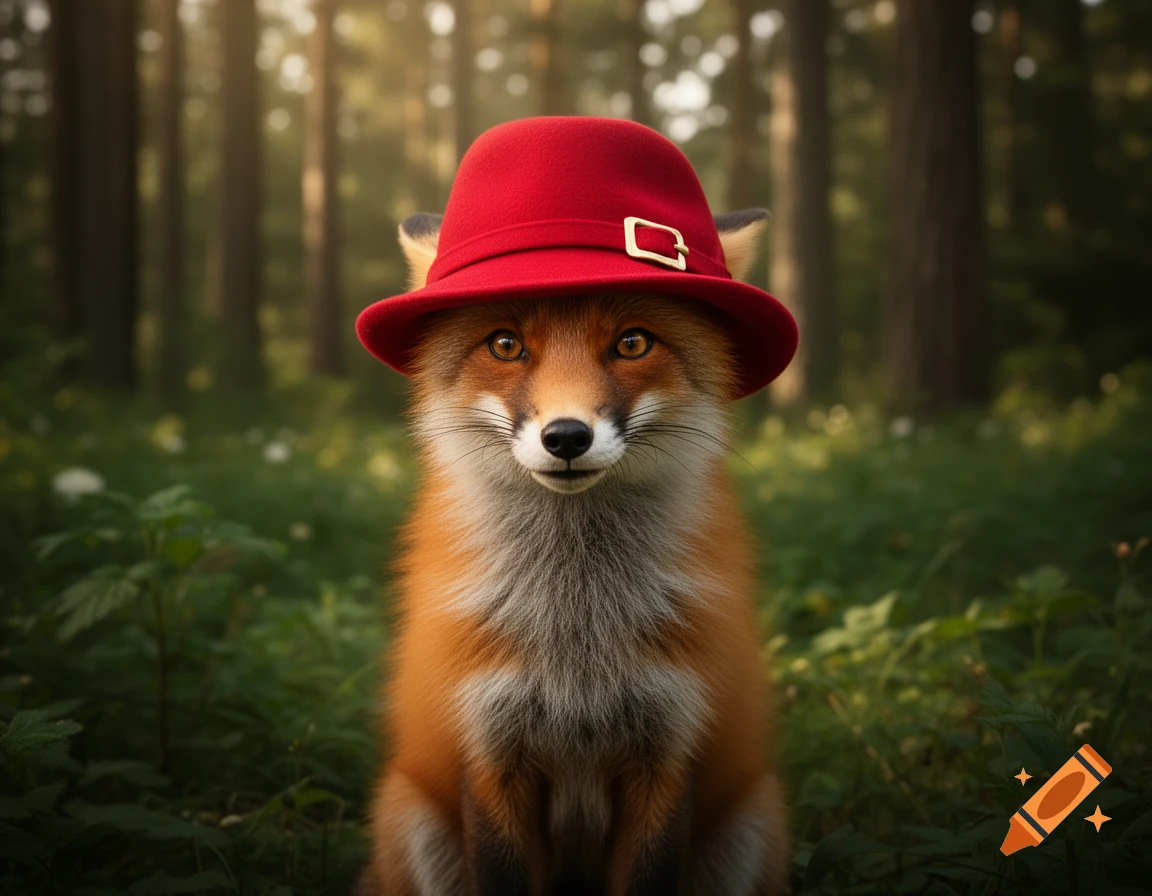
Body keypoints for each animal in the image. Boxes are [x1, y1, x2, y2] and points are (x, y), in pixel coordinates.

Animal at [356, 206, 790, 895]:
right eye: (506, 344)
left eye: (632, 343)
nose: (565, 437)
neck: (577, 635)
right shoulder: (489, 749)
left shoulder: (670, 750)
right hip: (410, 814)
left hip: (753, 821)